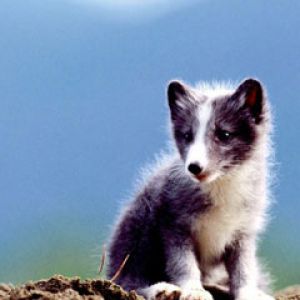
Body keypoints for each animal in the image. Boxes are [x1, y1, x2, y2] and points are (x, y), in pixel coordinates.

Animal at [106, 78, 276, 300]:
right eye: (187, 136)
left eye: (225, 134)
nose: (194, 167)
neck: (219, 185)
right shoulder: (174, 226)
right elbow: (184, 264)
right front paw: (194, 290)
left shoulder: (243, 232)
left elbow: (244, 269)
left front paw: (248, 294)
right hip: (139, 228)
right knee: (127, 282)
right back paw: (161, 290)